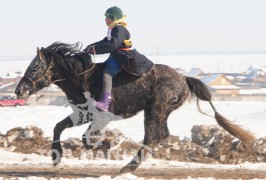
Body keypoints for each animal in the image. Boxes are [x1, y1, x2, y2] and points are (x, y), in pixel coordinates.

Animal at [15, 42, 256, 173]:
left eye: (34, 66)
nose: (18, 91)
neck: (82, 78)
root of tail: (183, 79)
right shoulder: (83, 114)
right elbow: (58, 127)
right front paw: (56, 158)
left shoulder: (101, 117)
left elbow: (85, 138)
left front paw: (106, 145)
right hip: (157, 111)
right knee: (160, 134)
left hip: (155, 109)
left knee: (153, 135)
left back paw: (127, 167)